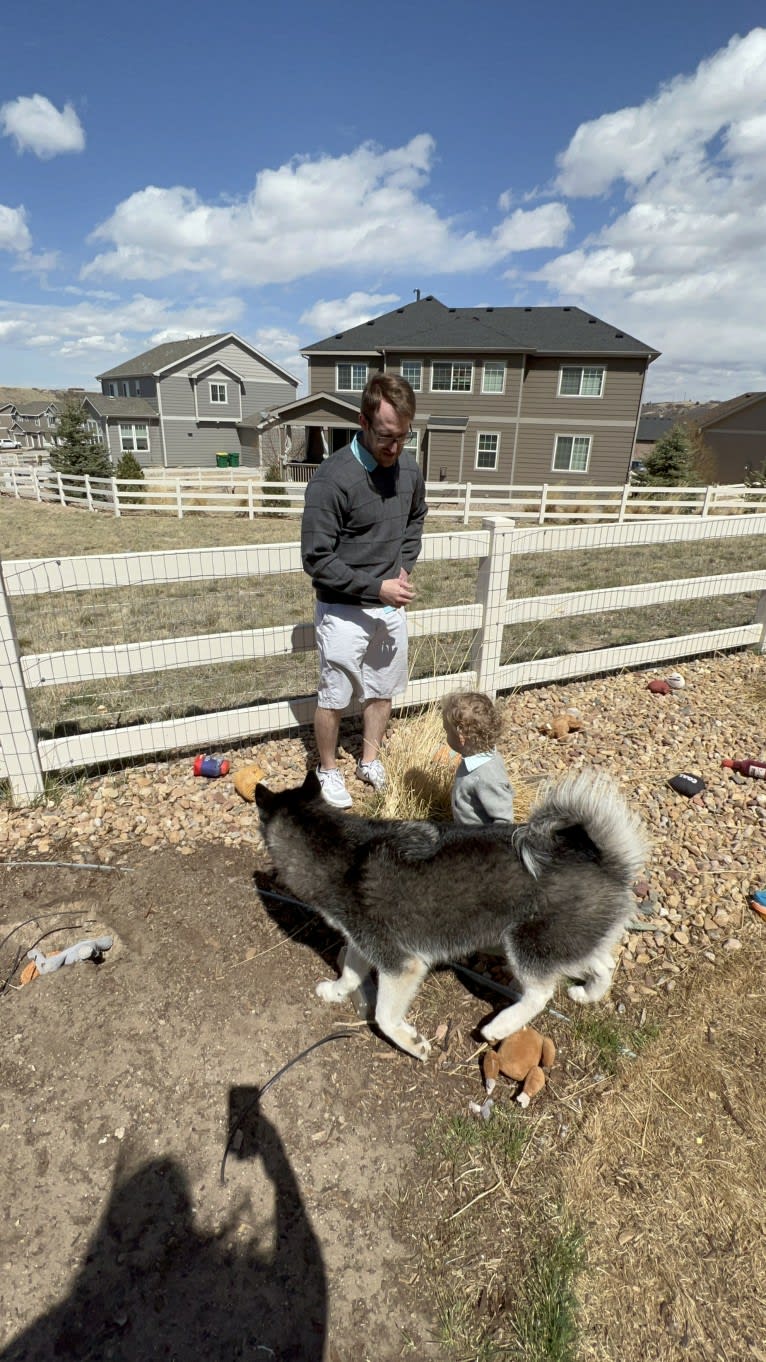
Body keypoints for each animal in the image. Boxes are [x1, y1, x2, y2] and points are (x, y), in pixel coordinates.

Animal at [254, 773, 643, 1056]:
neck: (340, 854)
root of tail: (605, 862)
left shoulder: (400, 963)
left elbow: (383, 1016)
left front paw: (411, 1043)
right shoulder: (364, 942)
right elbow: (349, 971)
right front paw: (335, 991)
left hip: (525, 944)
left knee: (540, 994)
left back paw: (500, 1026)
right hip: (564, 940)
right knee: (603, 964)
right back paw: (588, 995)